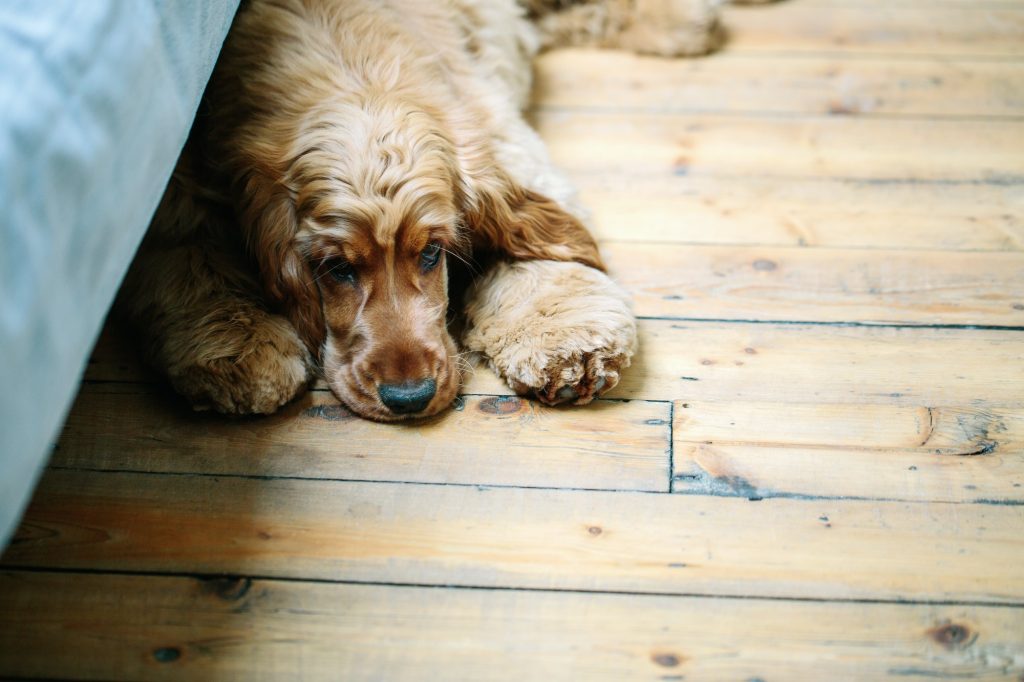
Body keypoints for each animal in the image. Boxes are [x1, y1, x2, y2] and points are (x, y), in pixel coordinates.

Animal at [121, 0, 729, 419]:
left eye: (432, 252)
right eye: (334, 267)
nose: (409, 397)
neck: (350, 71)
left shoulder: (497, 140)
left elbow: (540, 258)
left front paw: (565, 342)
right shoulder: (187, 178)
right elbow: (189, 253)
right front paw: (238, 350)